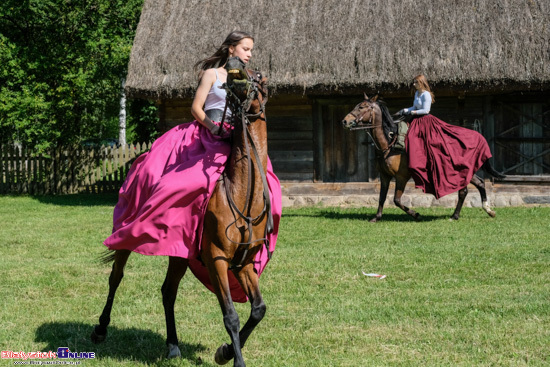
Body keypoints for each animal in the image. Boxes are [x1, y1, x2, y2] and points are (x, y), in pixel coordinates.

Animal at [91, 58, 274, 367]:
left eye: (259, 74)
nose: (235, 65)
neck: (241, 192)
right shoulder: (216, 259)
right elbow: (231, 316)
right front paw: (233, 357)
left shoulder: (244, 263)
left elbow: (258, 309)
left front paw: (225, 351)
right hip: (127, 238)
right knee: (116, 276)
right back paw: (101, 329)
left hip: (179, 253)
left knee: (168, 291)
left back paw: (173, 345)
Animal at [342, 95, 506, 221]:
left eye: (362, 107)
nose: (345, 121)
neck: (390, 143)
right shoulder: (385, 176)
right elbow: (382, 197)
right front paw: (376, 217)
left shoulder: (401, 176)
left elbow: (396, 200)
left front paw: (416, 214)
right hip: (465, 171)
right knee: (477, 185)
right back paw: (477, 212)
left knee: (466, 189)